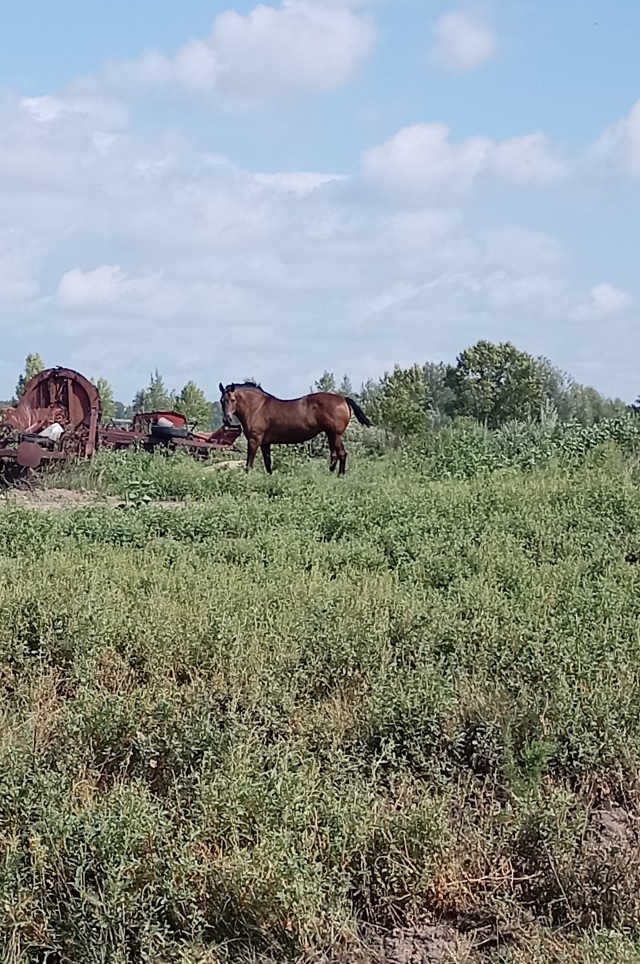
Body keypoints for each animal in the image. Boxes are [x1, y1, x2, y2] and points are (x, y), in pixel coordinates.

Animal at [218, 381, 371, 475]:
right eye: (221, 401)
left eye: (233, 400)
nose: (227, 419)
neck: (257, 407)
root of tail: (343, 398)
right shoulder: (265, 443)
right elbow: (268, 463)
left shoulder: (254, 441)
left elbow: (249, 463)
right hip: (331, 434)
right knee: (334, 455)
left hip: (335, 434)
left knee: (342, 454)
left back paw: (340, 475)